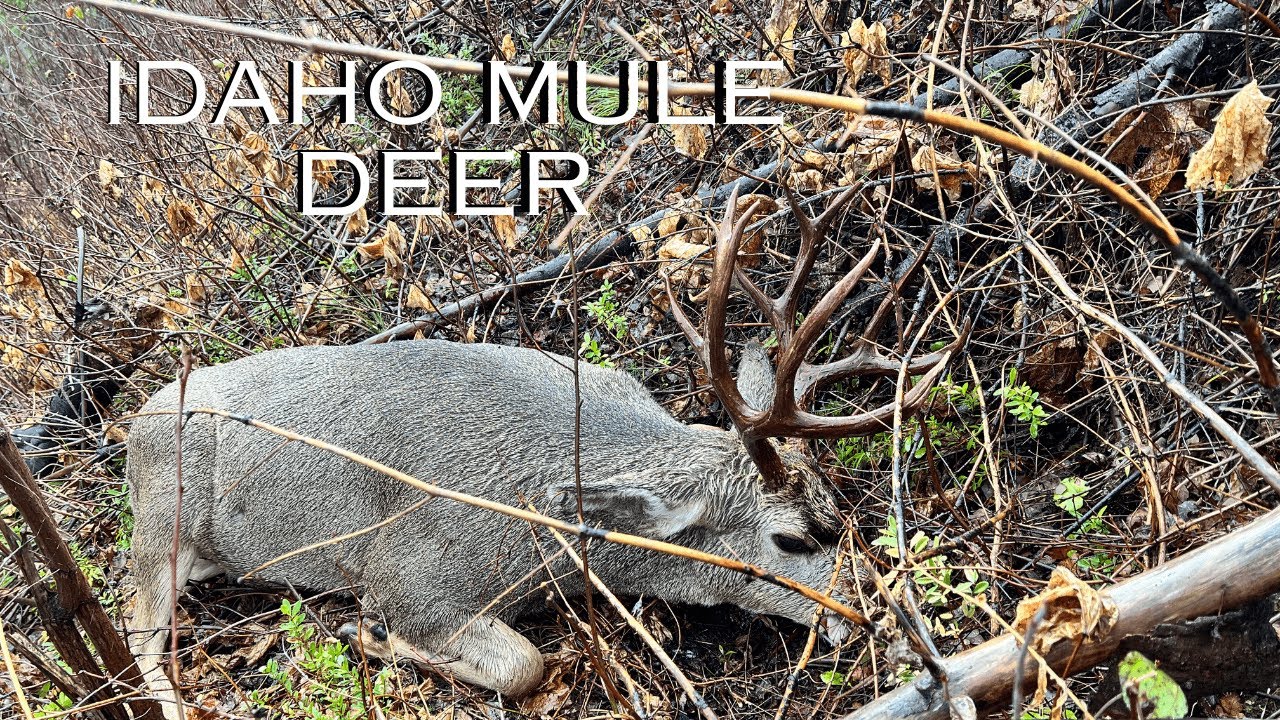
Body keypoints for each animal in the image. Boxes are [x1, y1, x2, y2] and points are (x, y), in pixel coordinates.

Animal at [124, 186, 964, 719]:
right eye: (790, 540)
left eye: (841, 509)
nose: (874, 612)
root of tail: (132, 422)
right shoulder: (409, 577)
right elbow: (523, 666)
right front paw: (370, 636)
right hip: (160, 524)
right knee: (138, 633)